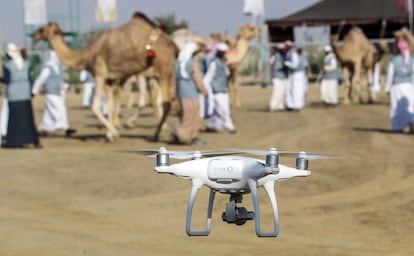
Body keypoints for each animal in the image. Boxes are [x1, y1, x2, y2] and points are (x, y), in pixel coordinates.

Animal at [32, 12, 180, 142]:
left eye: (42, 29)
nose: (34, 35)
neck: (86, 55)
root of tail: (174, 46)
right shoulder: (109, 80)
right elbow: (110, 106)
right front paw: (109, 134)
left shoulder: (100, 73)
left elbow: (95, 107)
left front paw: (114, 133)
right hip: (160, 73)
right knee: (162, 100)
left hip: (162, 68)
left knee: (166, 102)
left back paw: (155, 135)